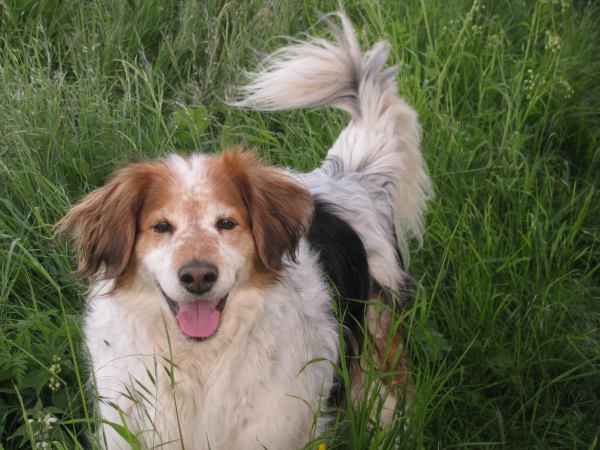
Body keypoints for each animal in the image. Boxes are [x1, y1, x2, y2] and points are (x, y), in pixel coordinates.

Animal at [57, 14, 432, 450]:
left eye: (227, 223)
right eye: (161, 227)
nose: (198, 276)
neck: (198, 363)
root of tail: (352, 180)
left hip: (377, 364)